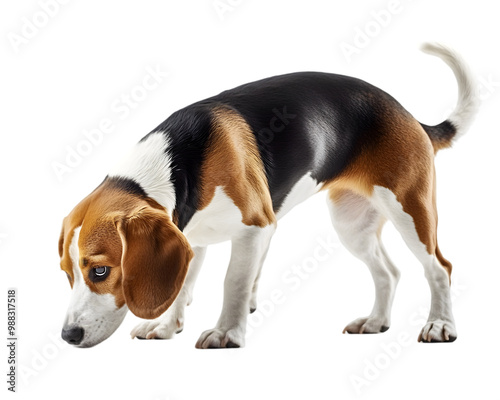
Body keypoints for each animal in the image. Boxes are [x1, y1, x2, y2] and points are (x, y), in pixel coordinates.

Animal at [57, 43, 476, 348]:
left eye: (100, 271)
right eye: (67, 273)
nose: (68, 336)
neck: (173, 167)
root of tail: (410, 117)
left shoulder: (255, 228)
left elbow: (234, 282)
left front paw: (226, 332)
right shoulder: (190, 238)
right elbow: (181, 287)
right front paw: (165, 326)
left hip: (410, 210)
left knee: (439, 268)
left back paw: (440, 324)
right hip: (352, 225)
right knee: (388, 272)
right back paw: (375, 322)